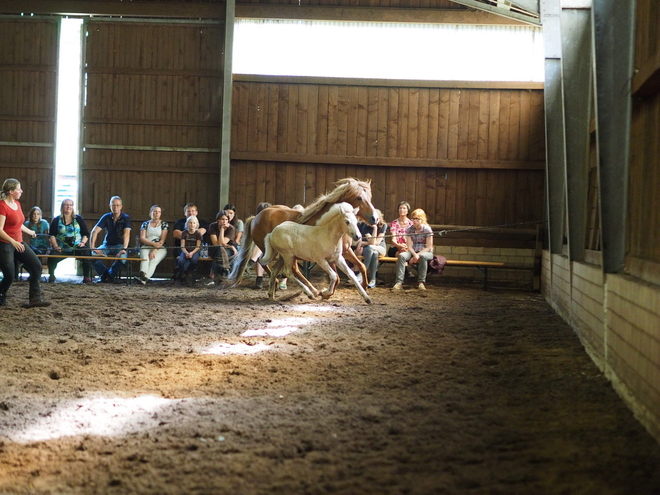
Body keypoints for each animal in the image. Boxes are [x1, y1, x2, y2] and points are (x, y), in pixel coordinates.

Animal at [229, 178, 378, 288]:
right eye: (359, 198)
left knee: (276, 265)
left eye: (370, 197)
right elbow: (336, 277)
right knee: (272, 264)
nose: (375, 218)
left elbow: (362, 266)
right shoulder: (328, 255)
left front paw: (364, 287)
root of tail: (256, 218)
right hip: (275, 250)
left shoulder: (345, 251)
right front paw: (326, 294)